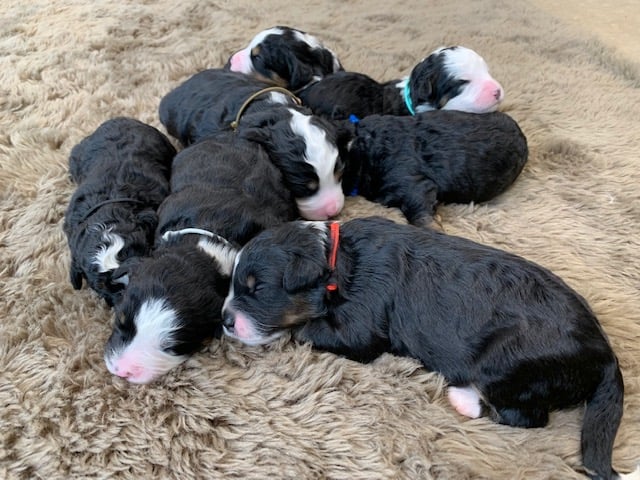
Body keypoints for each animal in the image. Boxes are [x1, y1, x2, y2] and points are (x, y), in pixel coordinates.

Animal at [221, 217, 636, 480]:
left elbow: (310, 331)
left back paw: (464, 399)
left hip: (505, 363)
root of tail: (606, 356)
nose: (224, 320)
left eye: (257, 288)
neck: (336, 258)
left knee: (525, 417)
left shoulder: (363, 323)